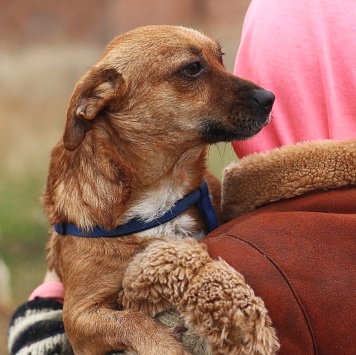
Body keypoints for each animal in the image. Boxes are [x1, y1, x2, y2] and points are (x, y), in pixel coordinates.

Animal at [44, 25, 276, 355]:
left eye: (220, 57)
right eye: (192, 68)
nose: (270, 97)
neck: (162, 191)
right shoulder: (78, 315)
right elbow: (132, 320)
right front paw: (166, 345)